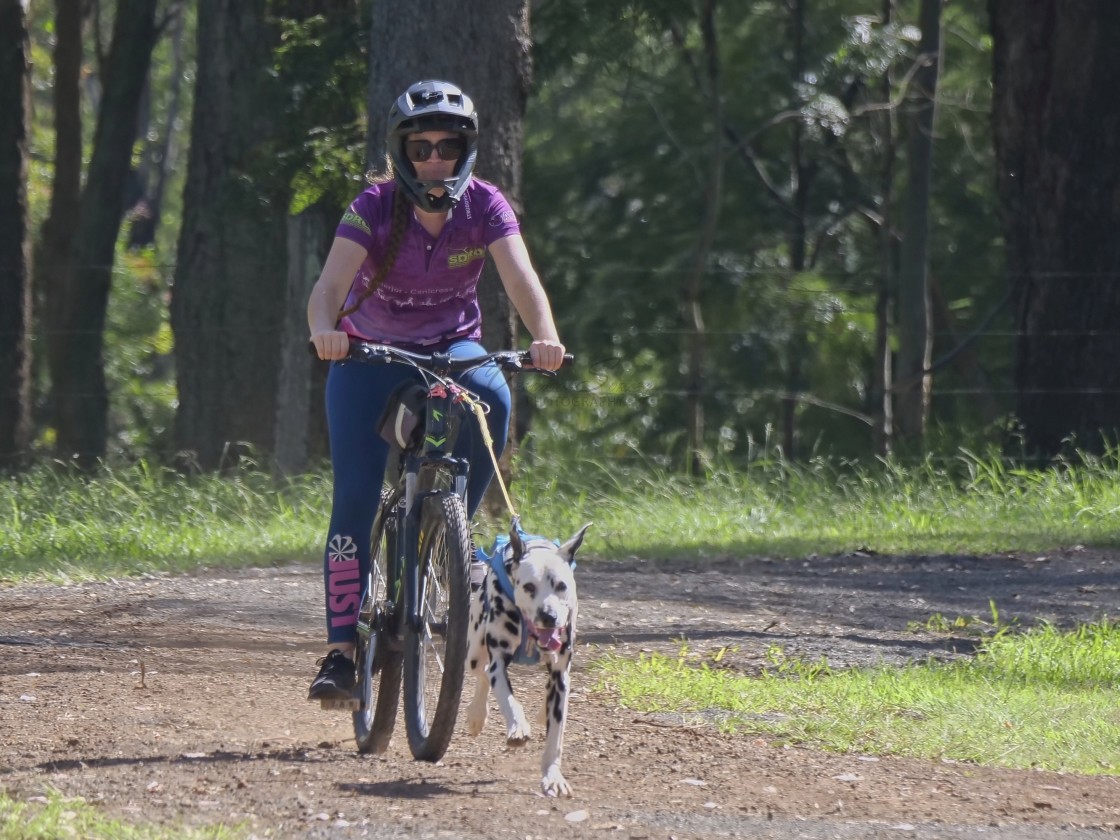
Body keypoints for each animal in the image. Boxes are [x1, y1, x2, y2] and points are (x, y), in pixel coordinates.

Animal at [463, 517, 591, 797]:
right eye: (529, 586)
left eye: (561, 586)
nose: (548, 616)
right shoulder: (498, 663)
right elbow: (509, 699)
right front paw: (518, 728)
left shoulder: (560, 674)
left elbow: (555, 735)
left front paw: (553, 777)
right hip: (474, 653)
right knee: (482, 674)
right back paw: (477, 715)